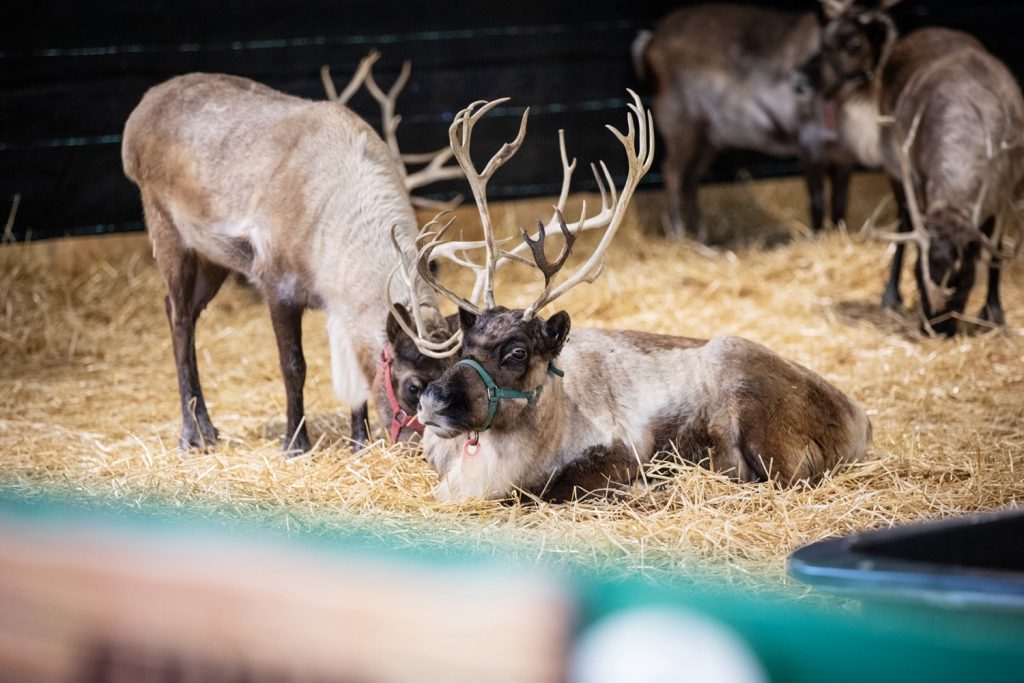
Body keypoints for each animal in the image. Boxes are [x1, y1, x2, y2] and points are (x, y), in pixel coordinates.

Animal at [121, 52, 464, 453]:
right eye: (413, 386)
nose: (427, 449)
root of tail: (141, 110)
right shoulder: (276, 282)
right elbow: (293, 366)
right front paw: (296, 443)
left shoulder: (337, 298)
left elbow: (353, 373)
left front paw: (359, 441)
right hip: (166, 228)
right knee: (179, 318)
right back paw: (193, 434)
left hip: (213, 256)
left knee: (182, 308)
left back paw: (208, 428)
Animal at [401, 92, 871, 503]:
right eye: (464, 344)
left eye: (517, 352)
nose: (432, 401)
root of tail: (860, 417)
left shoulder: (617, 454)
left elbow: (548, 491)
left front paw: (647, 488)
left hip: (756, 407)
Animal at [632, 1, 898, 243]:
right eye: (823, 43)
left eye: (855, 44)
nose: (799, 81)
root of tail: (650, 40)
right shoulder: (808, 145)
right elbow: (817, 201)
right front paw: (817, 238)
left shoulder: (843, 157)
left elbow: (840, 203)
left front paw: (839, 235)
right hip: (681, 126)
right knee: (671, 173)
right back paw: (677, 235)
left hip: (709, 138)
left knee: (690, 179)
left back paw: (702, 239)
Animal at [799, 11, 1024, 335]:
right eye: (918, 273)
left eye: (964, 281)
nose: (936, 329)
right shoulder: (917, 177)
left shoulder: (1007, 187)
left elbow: (995, 248)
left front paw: (994, 311)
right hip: (894, 165)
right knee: (903, 217)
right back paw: (890, 295)